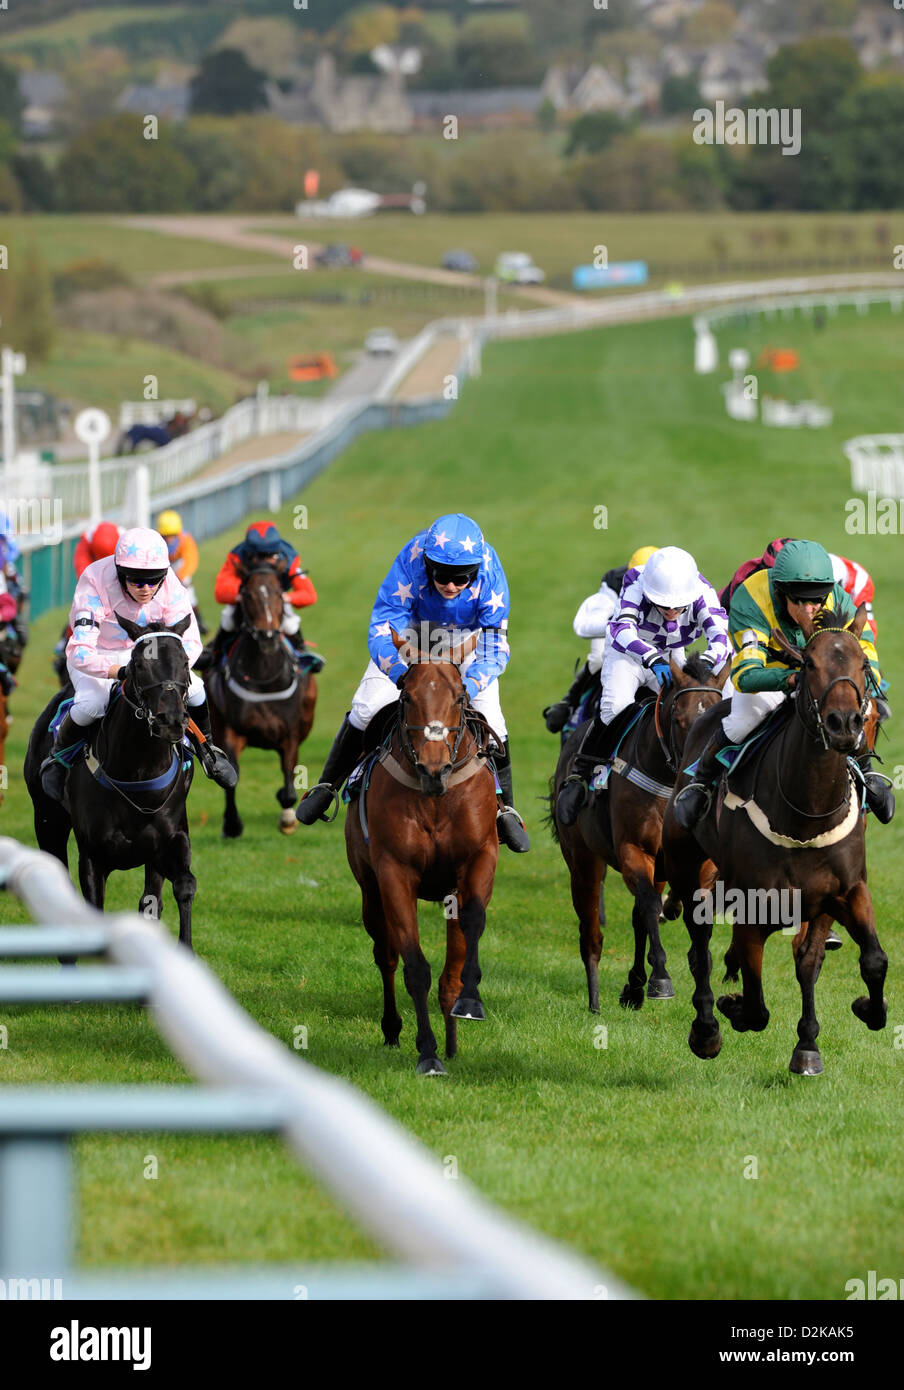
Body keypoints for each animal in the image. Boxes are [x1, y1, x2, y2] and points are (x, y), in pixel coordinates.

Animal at [23, 617, 197, 945]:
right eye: (139, 665)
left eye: (185, 662)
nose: (170, 720)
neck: (138, 776)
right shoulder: (92, 856)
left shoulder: (170, 841)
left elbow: (182, 887)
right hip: (47, 821)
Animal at [203, 556, 315, 834]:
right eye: (248, 594)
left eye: (277, 593)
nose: (267, 636)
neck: (265, 678)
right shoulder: (231, 731)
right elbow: (231, 773)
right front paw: (232, 824)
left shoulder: (290, 735)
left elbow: (289, 783)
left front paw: (287, 819)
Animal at [346, 631, 500, 1073]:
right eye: (407, 695)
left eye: (460, 695)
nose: (434, 770)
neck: (435, 799)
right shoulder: (394, 872)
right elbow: (414, 966)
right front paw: (428, 1053)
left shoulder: (479, 858)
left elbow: (472, 924)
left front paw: (469, 1003)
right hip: (369, 889)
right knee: (386, 955)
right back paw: (394, 1028)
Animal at [545, 656, 728, 1017]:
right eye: (678, 719)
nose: (695, 775)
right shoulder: (634, 849)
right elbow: (648, 906)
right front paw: (661, 977)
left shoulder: (694, 864)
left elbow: (686, 911)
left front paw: (698, 962)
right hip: (583, 861)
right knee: (592, 932)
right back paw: (596, 1000)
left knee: (639, 917)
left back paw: (633, 986)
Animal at [659, 608, 884, 1073]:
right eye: (809, 664)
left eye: (862, 664)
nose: (843, 723)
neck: (806, 813)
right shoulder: (753, 907)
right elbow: (756, 1005)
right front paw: (730, 1008)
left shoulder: (842, 892)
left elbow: (860, 960)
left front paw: (820, 1039)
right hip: (685, 865)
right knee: (700, 946)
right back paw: (706, 1029)